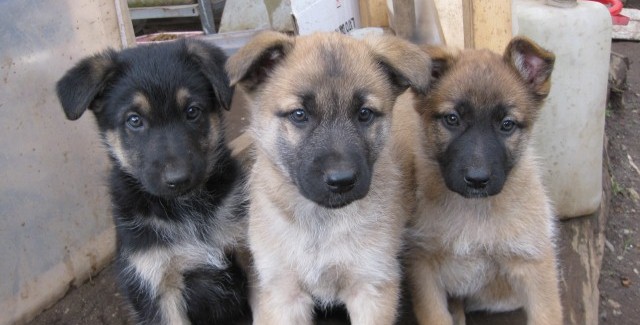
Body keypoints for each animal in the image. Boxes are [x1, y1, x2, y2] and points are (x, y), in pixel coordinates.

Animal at [225, 31, 430, 324]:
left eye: (364, 114)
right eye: (299, 114)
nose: (342, 180)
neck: (321, 222)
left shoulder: (372, 287)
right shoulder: (283, 294)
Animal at [398, 36, 564, 322]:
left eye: (507, 124)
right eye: (452, 119)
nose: (477, 180)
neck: (473, 211)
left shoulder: (534, 264)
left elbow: (547, 315)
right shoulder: (422, 264)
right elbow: (436, 316)